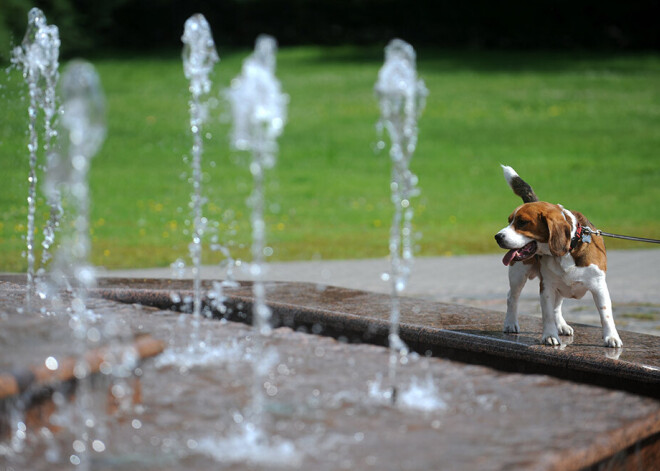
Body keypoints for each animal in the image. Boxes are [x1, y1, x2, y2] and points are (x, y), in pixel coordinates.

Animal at [496, 165, 624, 346]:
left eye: (522, 222)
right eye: (509, 221)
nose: (497, 237)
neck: (568, 249)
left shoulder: (599, 286)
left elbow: (605, 315)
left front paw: (611, 337)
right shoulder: (546, 286)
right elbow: (547, 314)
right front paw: (550, 335)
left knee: (557, 306)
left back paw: (562, 325)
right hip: (518, 275)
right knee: (512, 298)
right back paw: (510, 323)